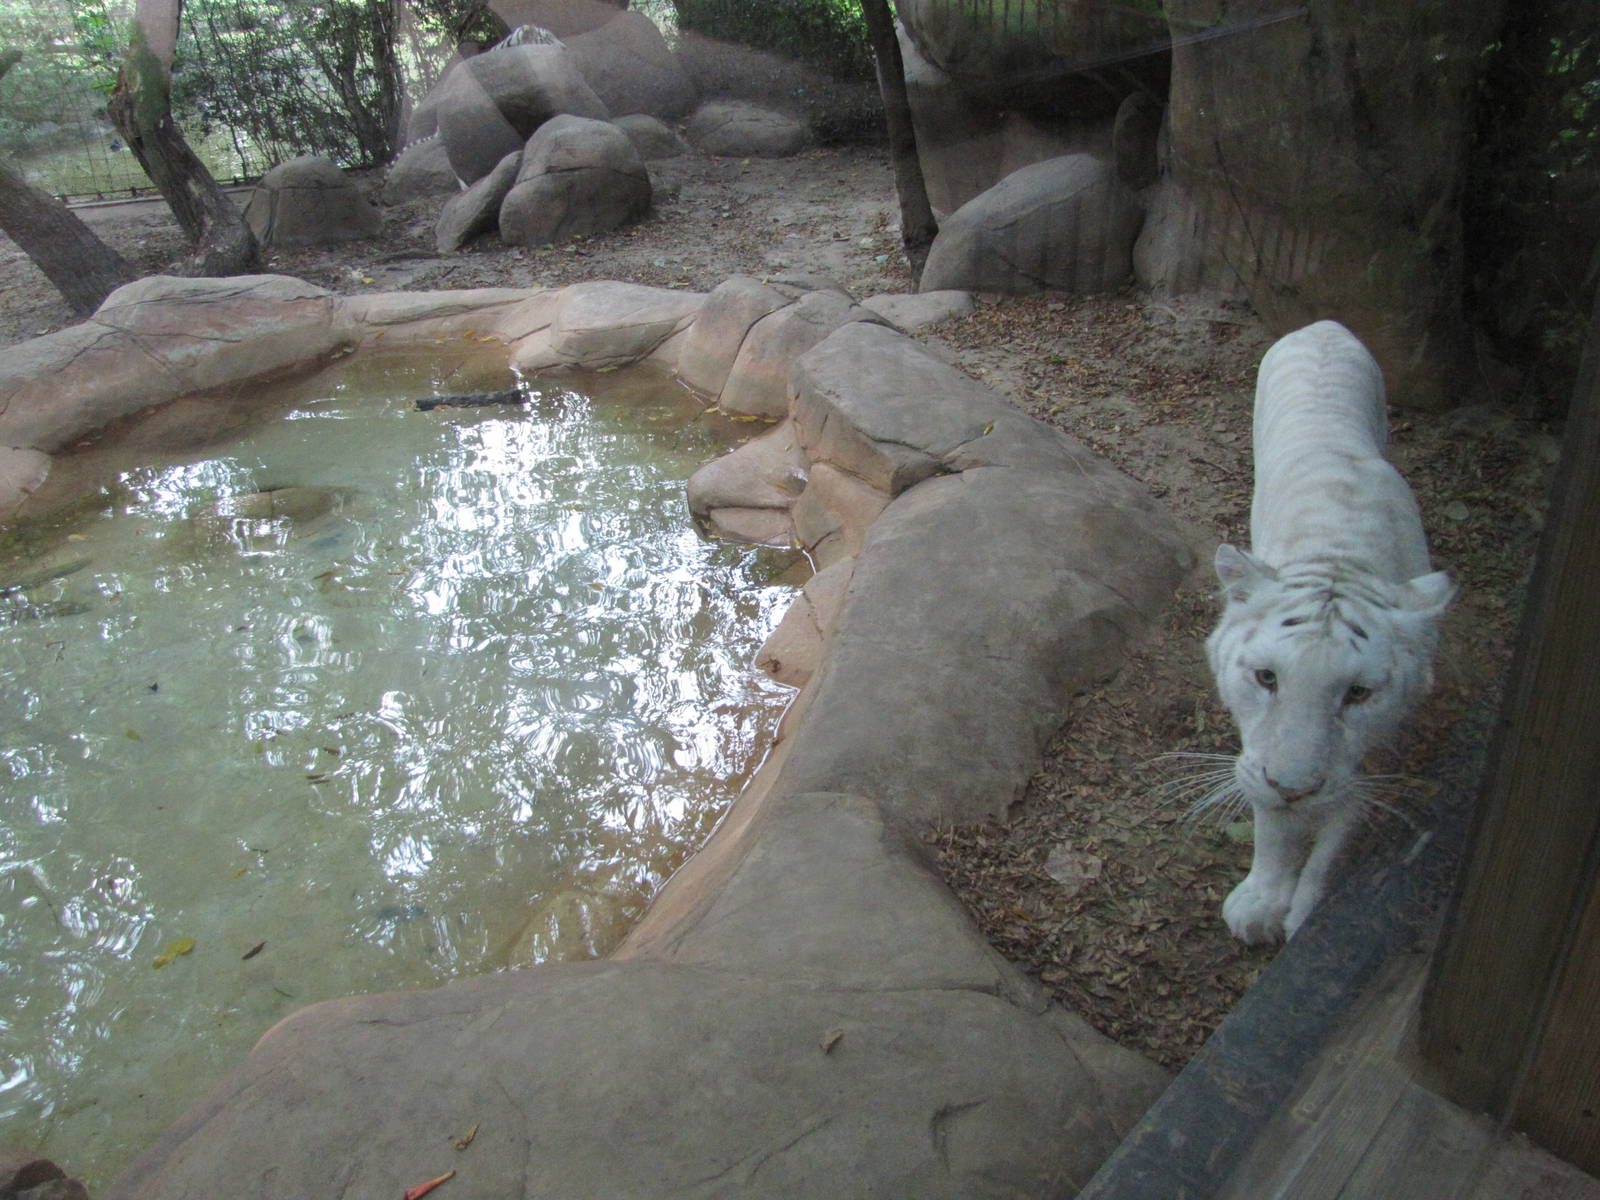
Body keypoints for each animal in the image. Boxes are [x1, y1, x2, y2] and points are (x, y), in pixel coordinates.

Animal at [1201, 320, 1455, 944]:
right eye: (1266, 678)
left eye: (1358, 693)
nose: (1296, 788)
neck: (1341, 555)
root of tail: (1324, 325)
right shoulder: (1258, 747)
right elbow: (1271, 822)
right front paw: (1261, 903)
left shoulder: (1369, 754)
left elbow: (1335, 840)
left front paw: (1306, 918)